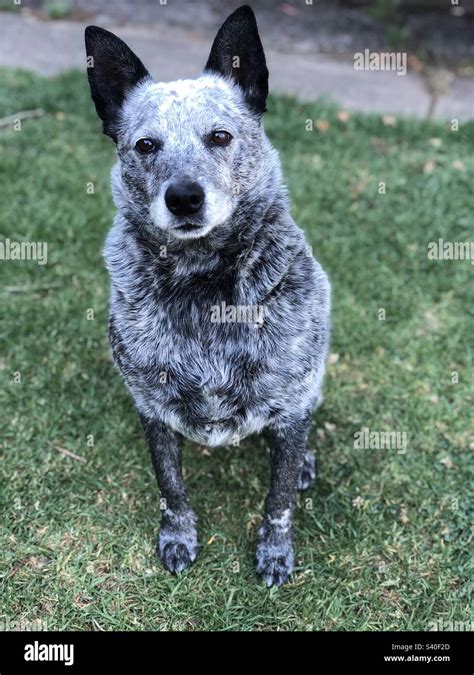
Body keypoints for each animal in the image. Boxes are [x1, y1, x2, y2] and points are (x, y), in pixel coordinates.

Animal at [84, 5, 330, 588]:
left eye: (220, 136)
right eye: (146, 145)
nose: (184, 198)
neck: (203, 285)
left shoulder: (290, 406)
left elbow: (278, 499)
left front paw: (275, 551)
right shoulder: (152, 407)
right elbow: (170, 487)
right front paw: (178, 537)